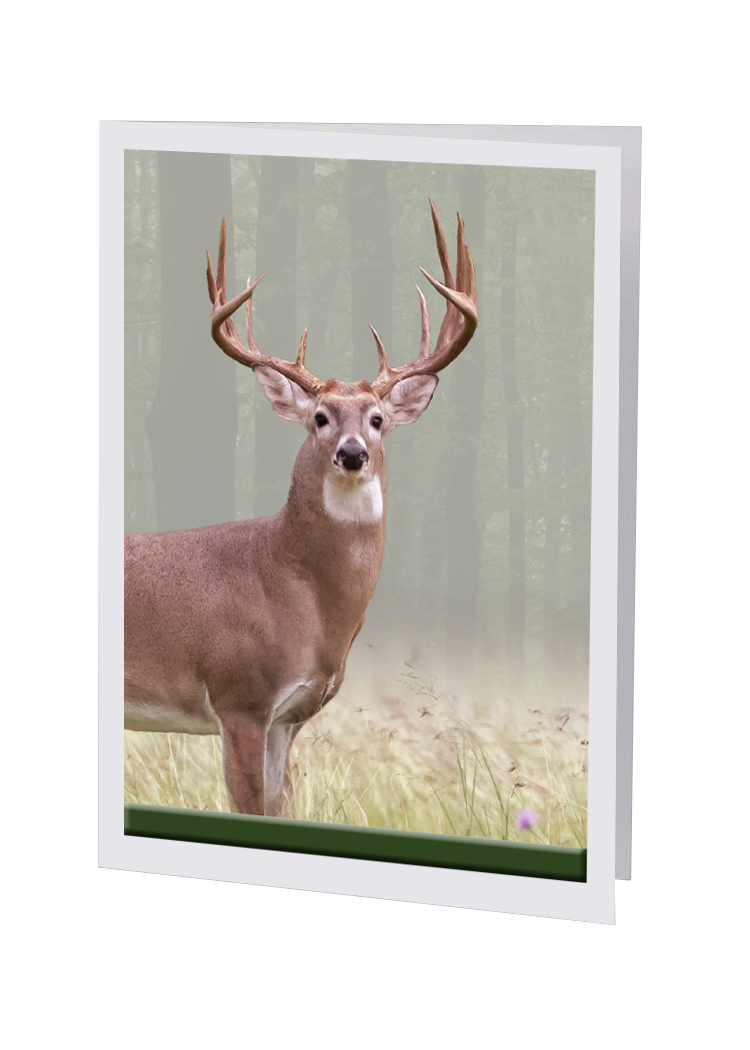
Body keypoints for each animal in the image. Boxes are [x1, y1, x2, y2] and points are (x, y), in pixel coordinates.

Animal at [124, 200, 478, 817]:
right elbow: (249, 806)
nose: (353, 453)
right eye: (320, 417)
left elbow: (280, 805)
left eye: (377, 419)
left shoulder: (286, 718)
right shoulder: (239, 697)